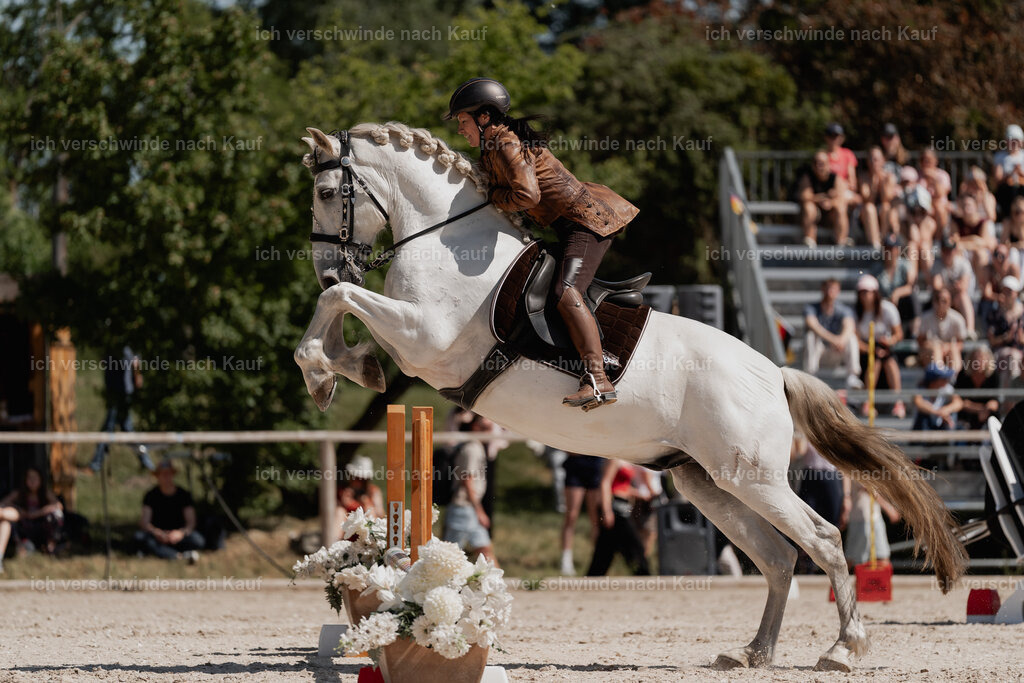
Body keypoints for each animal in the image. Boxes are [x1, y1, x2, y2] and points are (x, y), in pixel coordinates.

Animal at [294, 122, 967, 672]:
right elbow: (337, 308)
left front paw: (335, 369)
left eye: (326, 194)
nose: (328, 266)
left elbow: (341, 302)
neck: (445, 243)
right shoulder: (415, 341)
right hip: (706, 482)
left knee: (821, 541)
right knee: (777, 557)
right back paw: (753, 652)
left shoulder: (425, 339)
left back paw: (842, 650)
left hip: (752, 476)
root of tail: (775, 371)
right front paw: (341, 369)